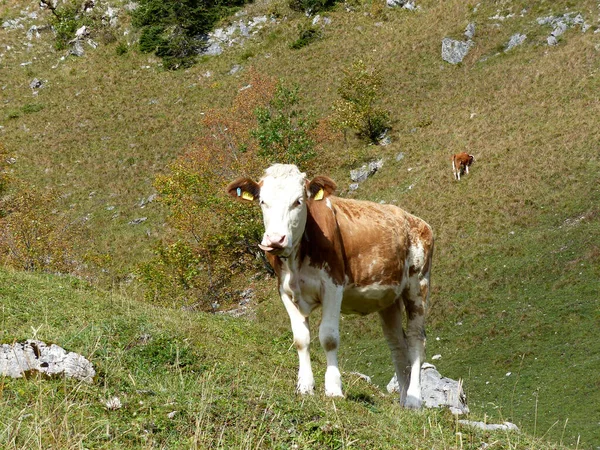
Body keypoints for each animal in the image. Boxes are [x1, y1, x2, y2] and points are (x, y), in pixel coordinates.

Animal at [227, 164, 434, 408]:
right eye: (262, 201)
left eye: (298, 201)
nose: (275, 239)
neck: (296, 262)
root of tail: (414, 219)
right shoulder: (285, 291)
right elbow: (301, 339)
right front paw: (305, 386)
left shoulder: (333, 286)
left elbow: (328, 338)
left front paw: (334, 388)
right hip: (388, 298)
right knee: (397, 344)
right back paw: (402, 401)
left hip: (418, 284)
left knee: (415, 340)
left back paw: (413, 400)